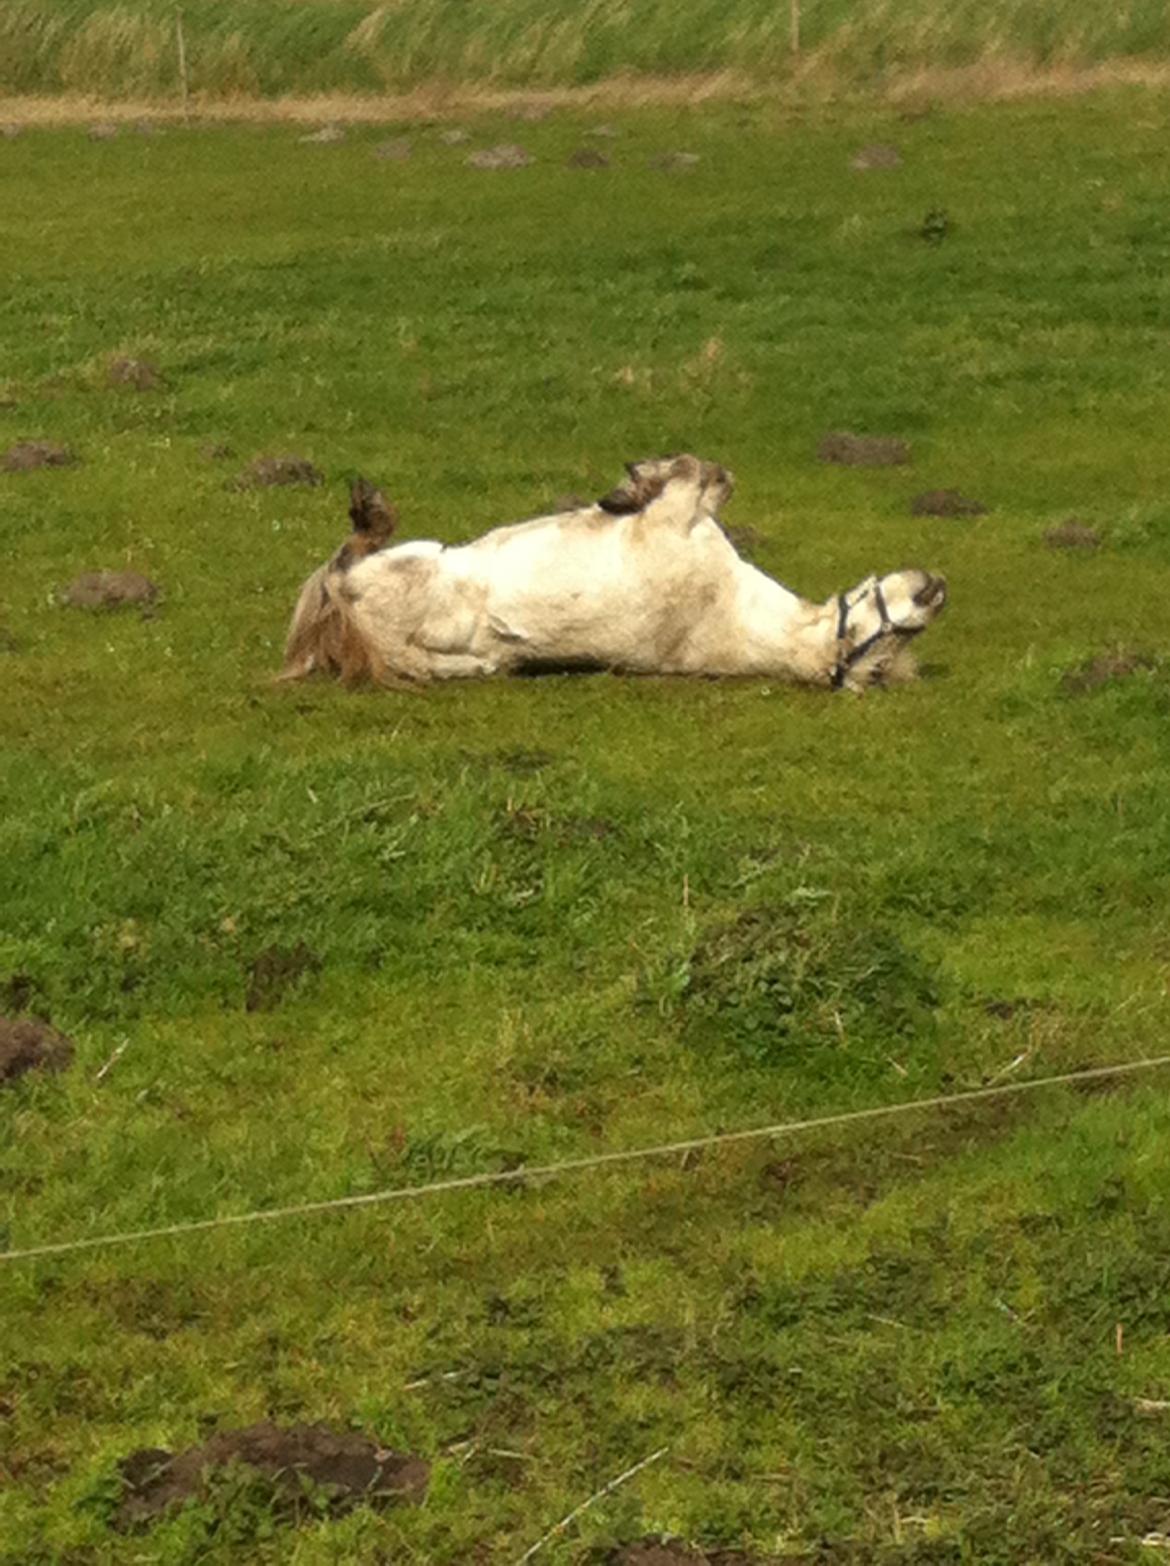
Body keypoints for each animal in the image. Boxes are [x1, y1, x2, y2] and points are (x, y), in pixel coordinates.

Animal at [283, 457, 952, 695]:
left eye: (883, 651)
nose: (936, 591)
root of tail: (351, 628)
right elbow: (709, 479)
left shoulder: (681, 519)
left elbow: (702, 477)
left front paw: (636, 482)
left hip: (404, 569)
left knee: (345, 558)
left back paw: (369, 510)